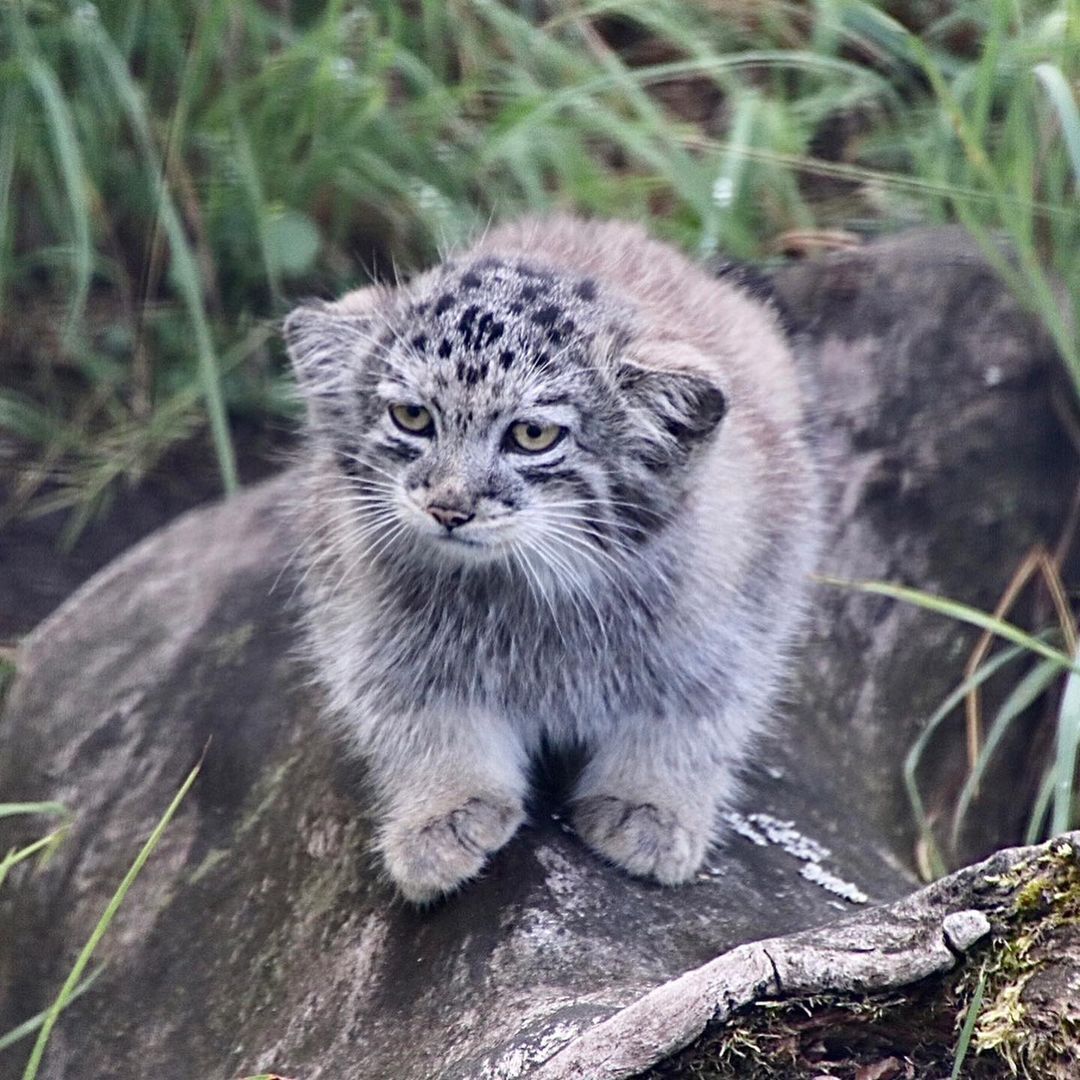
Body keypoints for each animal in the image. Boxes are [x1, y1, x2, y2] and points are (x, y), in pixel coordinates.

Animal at [285, 212, 816, 902]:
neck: (526, 597)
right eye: (411, 417)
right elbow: (422, 723)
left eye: (532, 435)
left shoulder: (734, 630)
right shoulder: (371, 637)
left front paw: (650, 804)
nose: (449, 508)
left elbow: (691, 723)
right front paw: (444, 810)